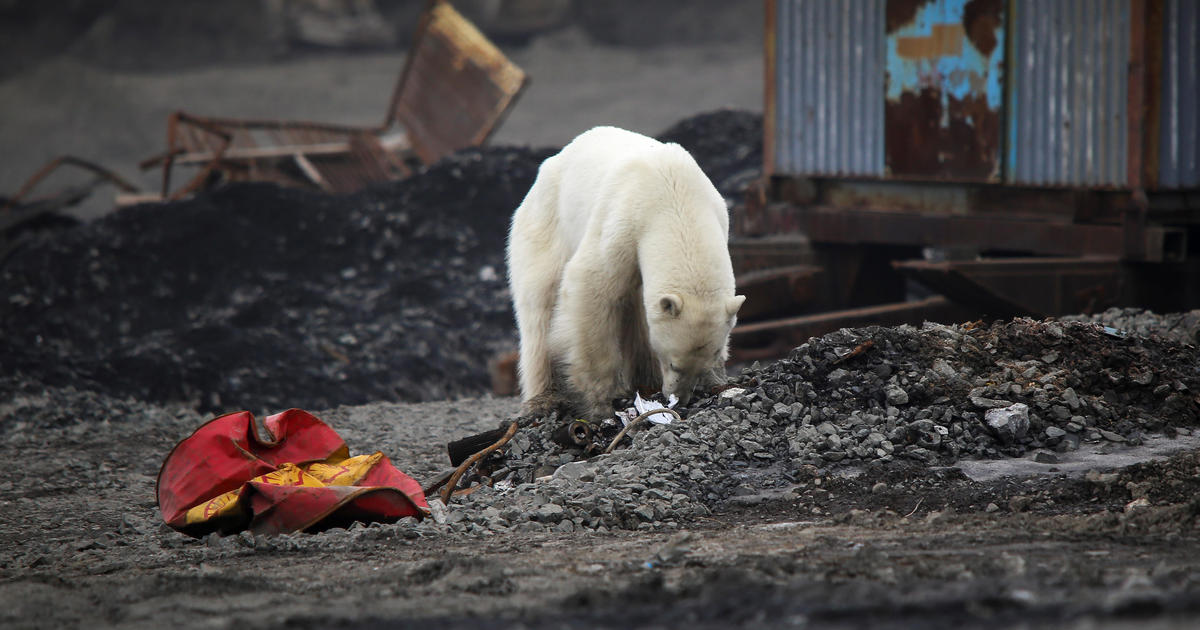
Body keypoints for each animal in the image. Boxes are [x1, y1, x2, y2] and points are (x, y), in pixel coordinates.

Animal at [504, 124, 739, 417]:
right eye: (674, 363)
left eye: (702, 362)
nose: (679, 398)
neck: (675, 196)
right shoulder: (624, 219)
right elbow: (590, 286)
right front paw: (598, 402)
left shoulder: (717, 213)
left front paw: (716, 378)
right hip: (545, 225)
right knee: (539, 306)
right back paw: (544, 397)